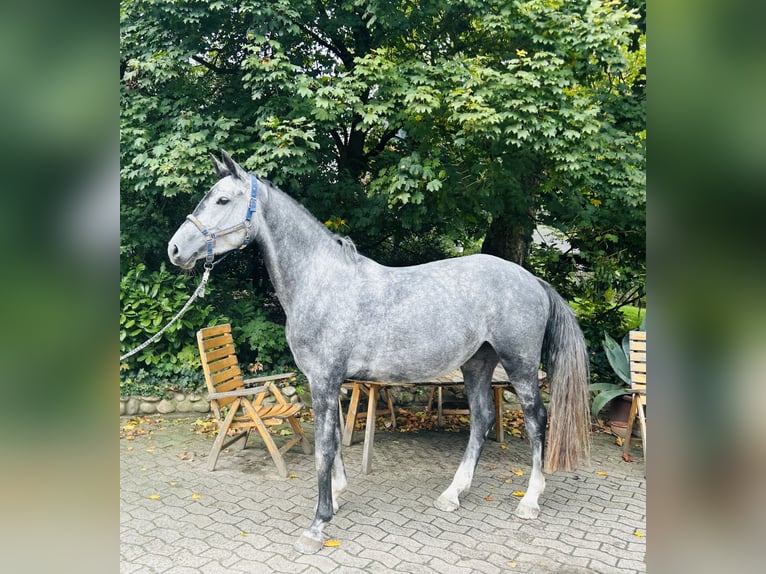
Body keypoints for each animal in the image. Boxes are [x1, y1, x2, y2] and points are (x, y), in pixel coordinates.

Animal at [168, 151, 591, 554]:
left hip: (520, 365)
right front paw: (338, 496)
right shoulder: (326, 382)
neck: (321, 282)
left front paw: (317, 524)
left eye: (223, 199)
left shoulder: (324, 380)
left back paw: (530, 500)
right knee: (482, 418)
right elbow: (334, 439)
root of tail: (532, 279)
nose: (175, 249)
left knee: (537, 420)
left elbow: (323, 447)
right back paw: (453, 494)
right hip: (477, 364)